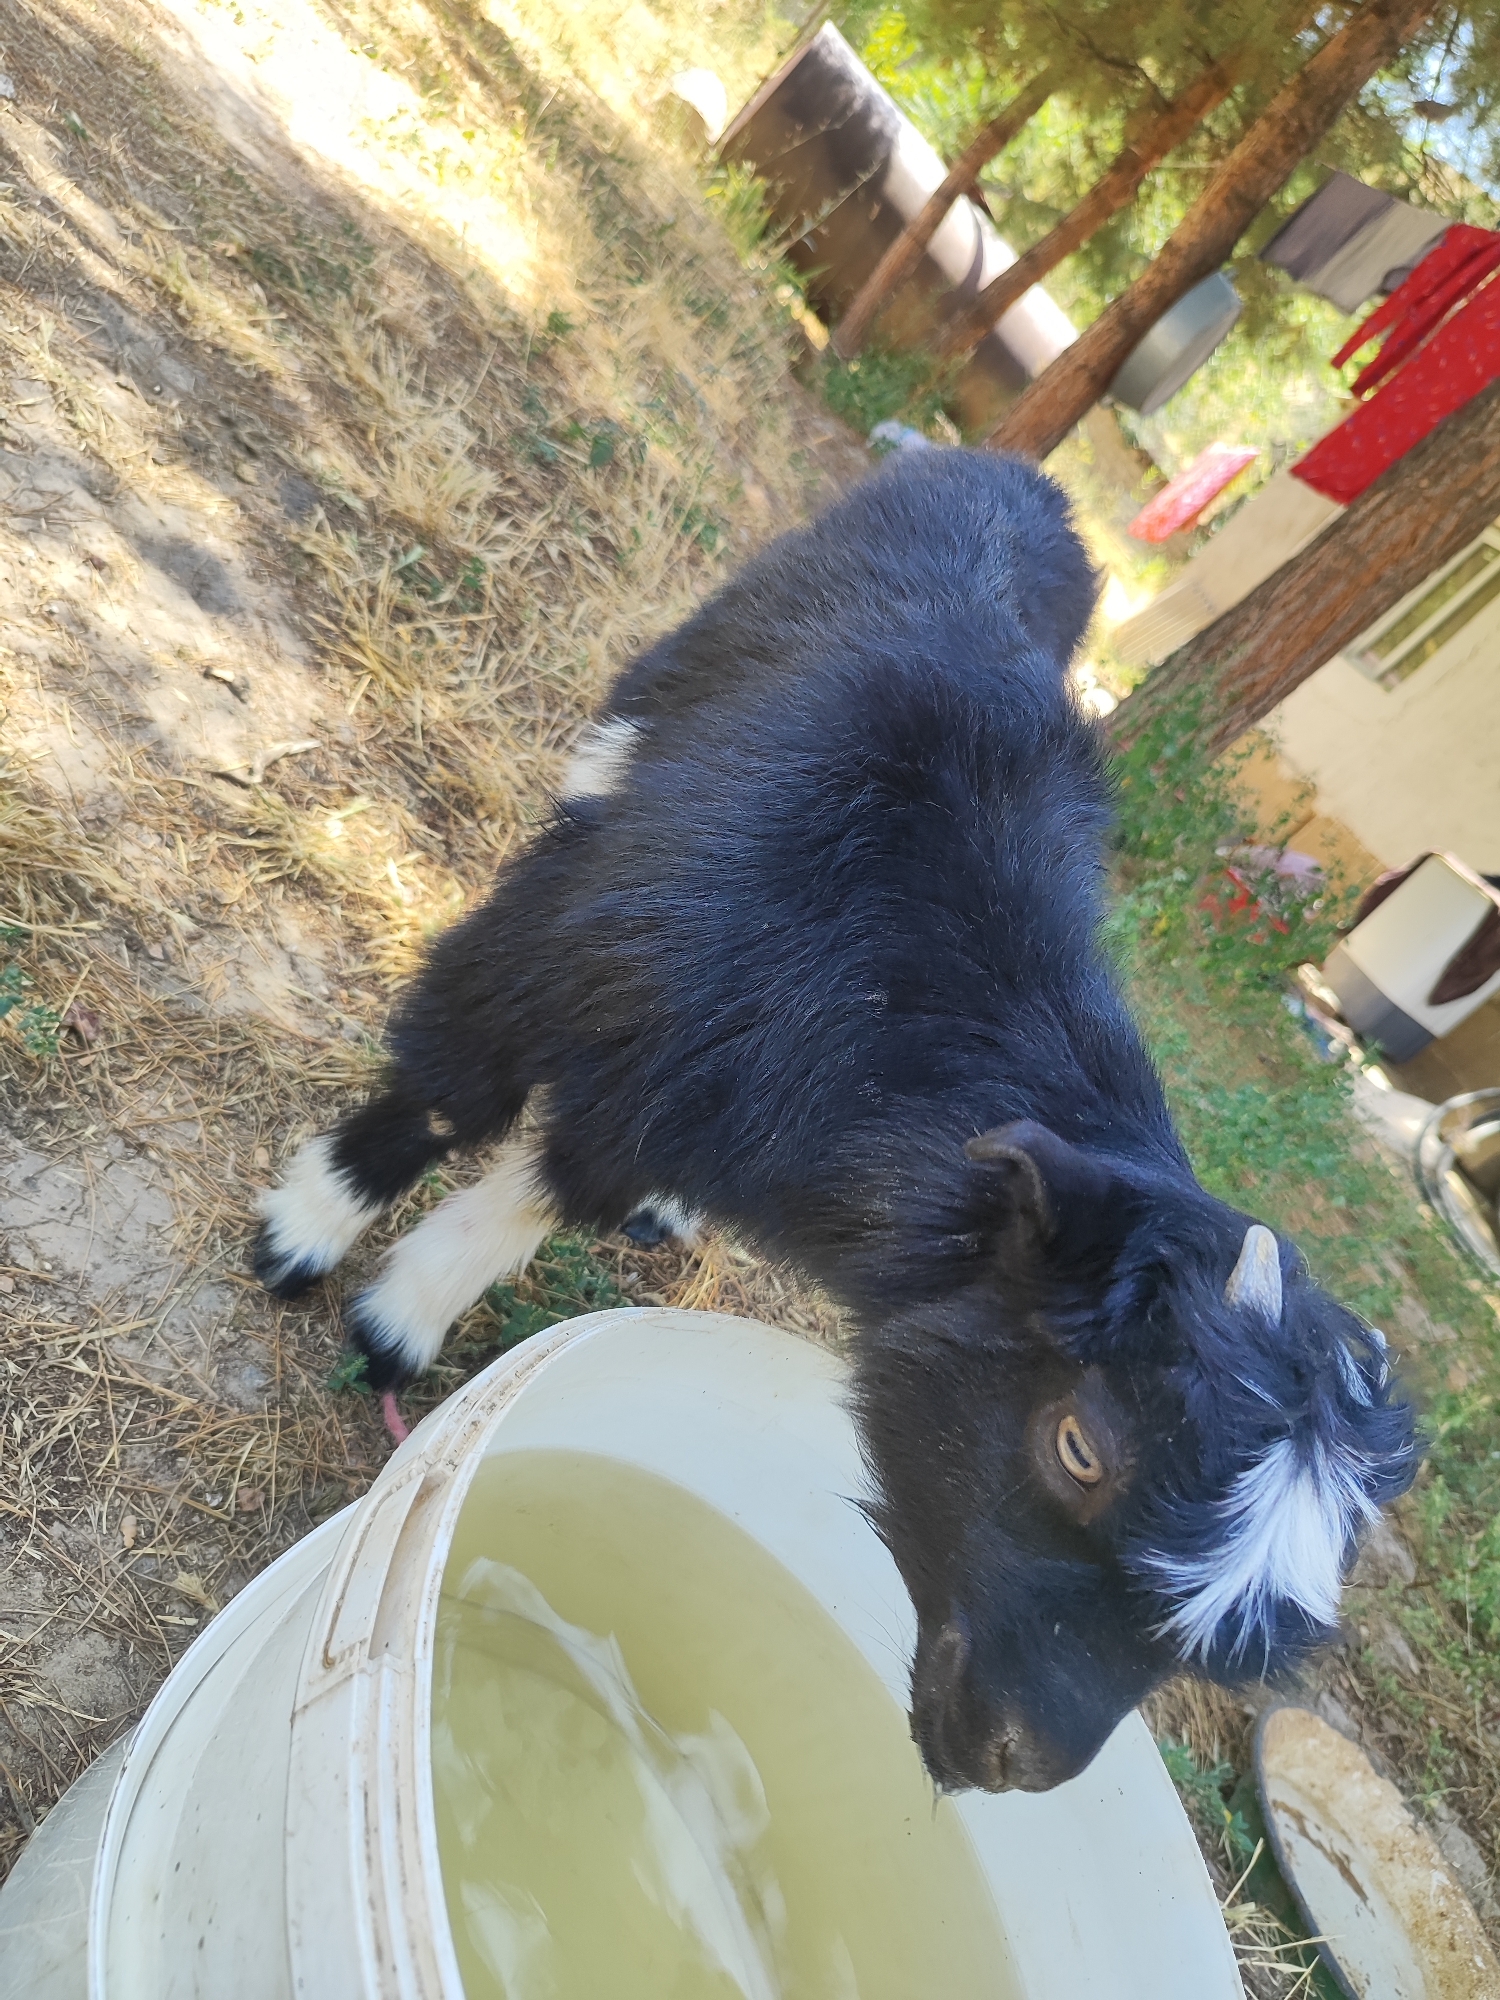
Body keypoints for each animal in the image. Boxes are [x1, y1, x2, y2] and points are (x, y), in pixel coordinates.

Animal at [254, 449, 1417, 1794]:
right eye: (1080, 1444)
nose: (1018, 1755)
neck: (885, 991)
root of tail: (1022, 478)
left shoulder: (703, 1074)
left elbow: (570, 1171)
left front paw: (409, 1309)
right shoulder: (576, 950)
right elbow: (460, 1083)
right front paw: (310, 1234)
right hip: (655, 703)